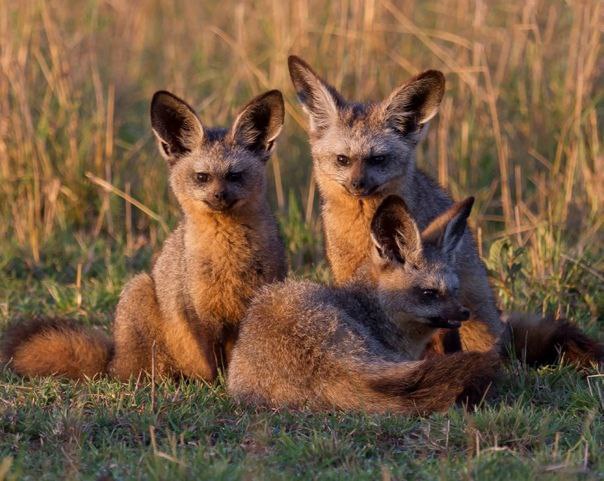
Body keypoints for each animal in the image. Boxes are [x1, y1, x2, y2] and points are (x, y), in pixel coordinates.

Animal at [0, 88, 288, 380]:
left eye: (235, 175)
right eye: (202, 177)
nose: (220, 196)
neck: (227, 255)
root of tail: (112, 359)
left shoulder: (252, 304)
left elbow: (239, 357)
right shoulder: (197, 310)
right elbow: (210, 362)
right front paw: (216, 383)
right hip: (138, 289)